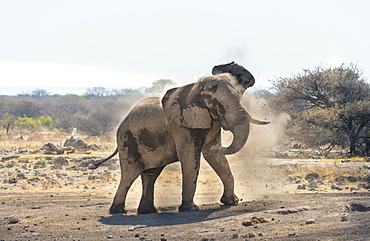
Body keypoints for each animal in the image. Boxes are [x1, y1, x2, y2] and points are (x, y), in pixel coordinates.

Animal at [93, 62, 268, 215]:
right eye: (217, 104)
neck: (194, 89)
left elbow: (217, 159)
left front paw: (232, 202)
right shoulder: (181, 126)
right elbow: (190, 158)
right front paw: (191, 209)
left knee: (150, 174)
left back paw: (147, 212)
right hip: (127, 141)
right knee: (129, 174)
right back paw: (118, 211)